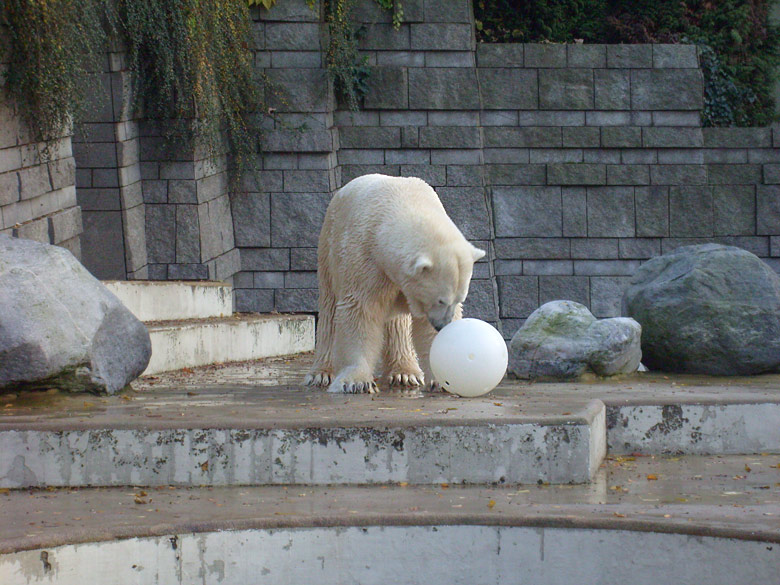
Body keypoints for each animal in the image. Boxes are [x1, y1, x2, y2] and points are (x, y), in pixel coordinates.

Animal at [304, 173, 482, 392]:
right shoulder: (364, 257)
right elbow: (360, 310)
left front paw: (442, 378)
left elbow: (423, 325)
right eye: (441, 300)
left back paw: (405, 373)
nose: (443, 326)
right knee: (329, 310)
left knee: (398, 323)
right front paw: (356, 382)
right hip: (329, 246)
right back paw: (320, 373)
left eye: (459, 299)